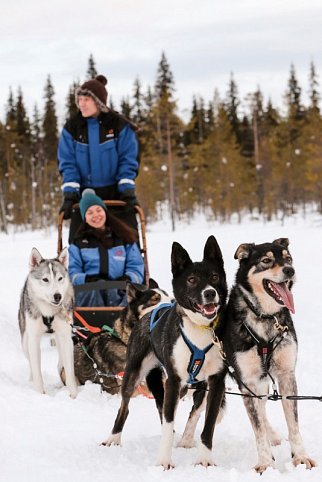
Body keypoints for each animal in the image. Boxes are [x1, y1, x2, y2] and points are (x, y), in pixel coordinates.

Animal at [102, 235, 228, 468]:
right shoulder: (173, 380)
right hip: (133, 374)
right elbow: (168, 423)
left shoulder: (216, 382)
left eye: (215, 277)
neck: (199, 330)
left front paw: (205, 459)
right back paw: (113, 438)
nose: (210, 293)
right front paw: (163, 462)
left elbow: (208, 426)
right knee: (125, 407)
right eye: (192, 280)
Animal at [223, 239, 316, 472]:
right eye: (266, 261)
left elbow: (293, 425)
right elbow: (257, 429)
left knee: (262, 409)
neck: (266, 317)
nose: (290, 270)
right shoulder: (248, 382)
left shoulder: (286, 376)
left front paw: (300, 457)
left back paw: (273, 435)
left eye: (288, 258)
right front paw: (266, 463)